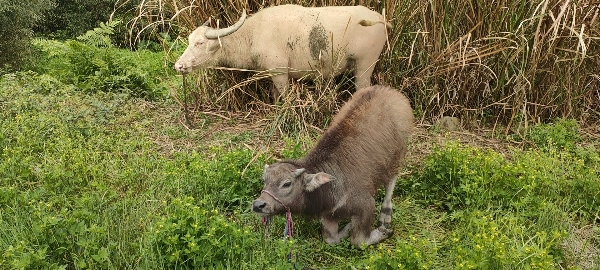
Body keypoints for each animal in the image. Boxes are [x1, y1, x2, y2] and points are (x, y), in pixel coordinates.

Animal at [173, 5, 390, 102]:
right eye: (189, 41)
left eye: (200, 43)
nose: (179, 65)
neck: (253, 35)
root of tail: (380, 19)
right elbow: (275, 95)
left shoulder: (280, 73)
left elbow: (284, 95)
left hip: (364, 66)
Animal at [252, 86, 412, 247]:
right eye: (264, 180)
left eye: (287, 183)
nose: (258, 205)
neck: (332, 186)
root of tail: (387, 90)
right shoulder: (328, 215)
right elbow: (331, 239)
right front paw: (347, 228)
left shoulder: (366, 205)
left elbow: (359, 241)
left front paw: (383, 232)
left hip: (398, 154)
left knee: (391, 180)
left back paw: (385, 215)